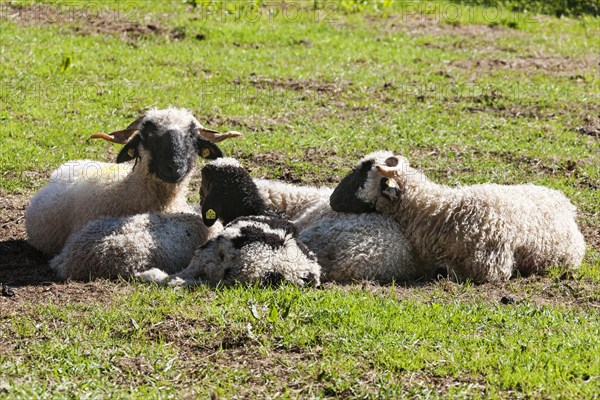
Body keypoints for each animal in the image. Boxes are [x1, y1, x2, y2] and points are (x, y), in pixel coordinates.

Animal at [138, 159, 322, 288]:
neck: (254, 209)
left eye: (204, 181)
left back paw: (150, 275)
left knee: (176, 278)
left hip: (206, 252)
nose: (199, 198)